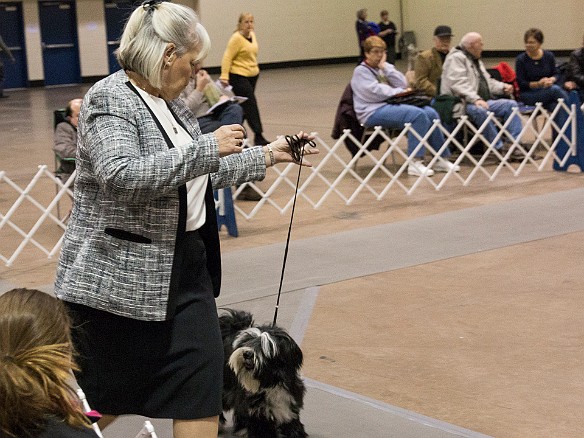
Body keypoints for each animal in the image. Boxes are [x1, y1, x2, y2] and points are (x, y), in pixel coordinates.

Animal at [219, 308, 308, 438]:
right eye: (247, 341)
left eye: (265, 346)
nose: (247, 354)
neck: (270, 383)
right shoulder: (259, 417)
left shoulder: (289, 411)